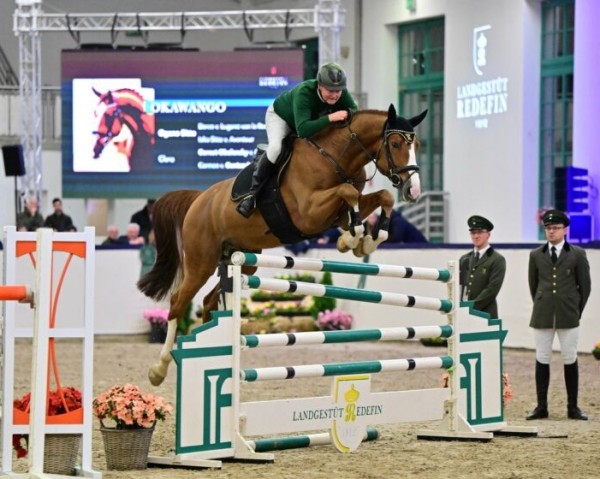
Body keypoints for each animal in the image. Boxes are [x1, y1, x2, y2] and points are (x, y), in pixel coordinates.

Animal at [137, 105, 426, 386]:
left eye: (418, 145)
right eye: (396, 143)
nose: (413, 190)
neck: (335, 157)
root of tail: (199, 199)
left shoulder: (337, 214)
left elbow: (381, 196)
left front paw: (364, 241)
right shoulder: (309, 213)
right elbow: (348, 192)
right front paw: (354, 238)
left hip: (244, 261)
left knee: (208, 301)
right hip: (201, 262)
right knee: (177, 302)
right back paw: (159, 369)